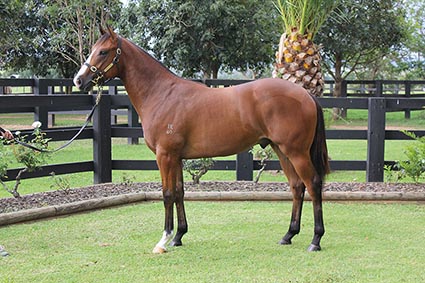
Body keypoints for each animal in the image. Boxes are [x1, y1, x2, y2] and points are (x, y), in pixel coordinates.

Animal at [74, 26, 330, 253]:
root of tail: (305, 94)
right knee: (297, 186)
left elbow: (167, 194)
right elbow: (179, 192)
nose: (78, 80)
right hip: (281, 150)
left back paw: (316, 240)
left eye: (103, 51)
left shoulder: (164, 156)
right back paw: (288, 235)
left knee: (313, 184)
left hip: (296, 152)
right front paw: (179, 236)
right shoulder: (176, 157)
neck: (161, 94)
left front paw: (163, 240)